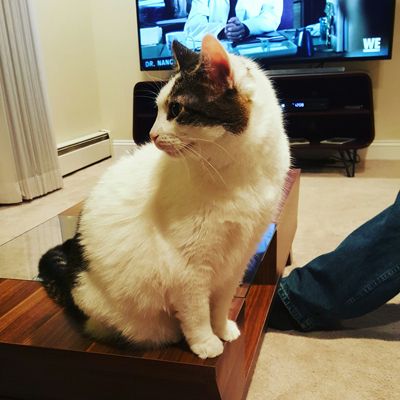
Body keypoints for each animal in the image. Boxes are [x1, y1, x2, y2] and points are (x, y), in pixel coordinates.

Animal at [39, 34, 290, 360]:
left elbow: (220, 304)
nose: (152, 135)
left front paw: (222, 329)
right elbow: (197, 313)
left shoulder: (237, 259)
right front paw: (206, 343)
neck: (236, 175)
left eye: (176, 109)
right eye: (158, 109)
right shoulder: (189, 268)